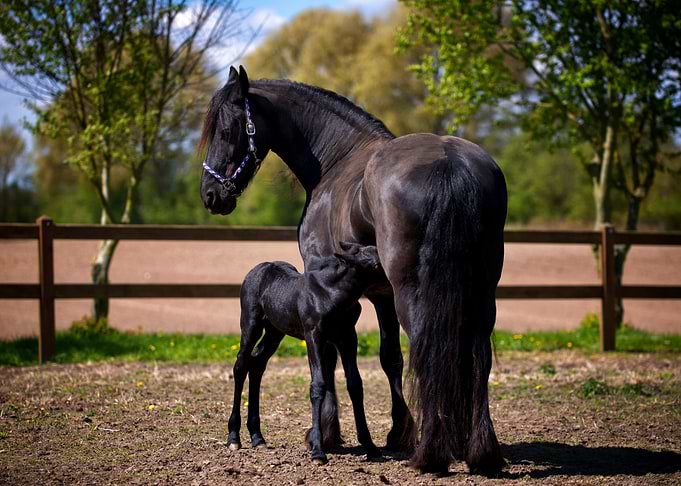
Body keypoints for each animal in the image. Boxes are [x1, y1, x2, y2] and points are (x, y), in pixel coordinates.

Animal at [227, 242, 383, 461]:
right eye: (376, 264)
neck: (331, 293)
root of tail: (259, 268)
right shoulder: (313, 336)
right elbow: (317, 385)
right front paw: (318, 450)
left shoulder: (348, 338)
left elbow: (355, 385)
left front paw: (370, 446)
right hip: (251, 324)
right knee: (241, 365)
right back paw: (233, 437)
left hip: (275, 331)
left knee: (257, 364)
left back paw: (257, 437)